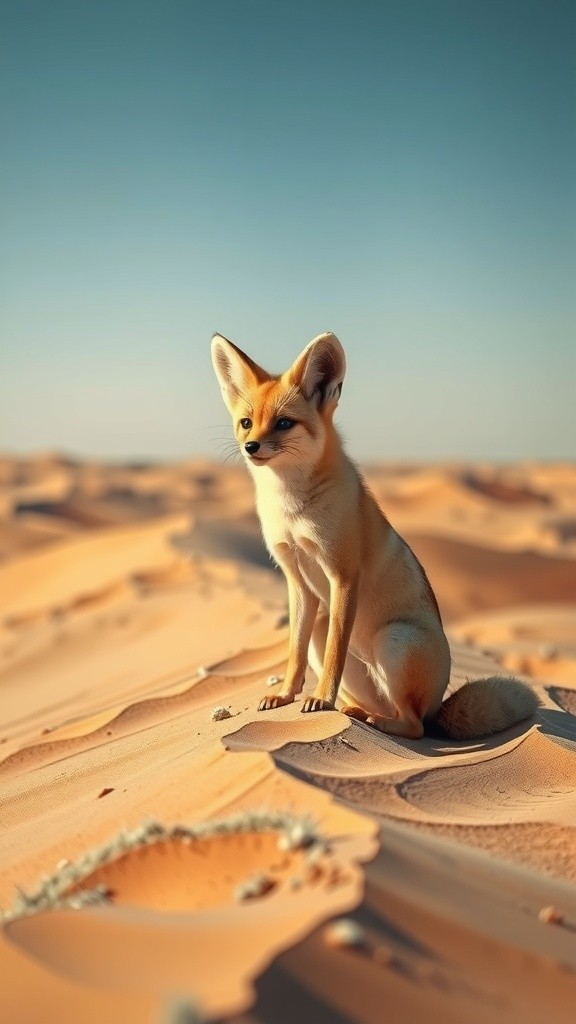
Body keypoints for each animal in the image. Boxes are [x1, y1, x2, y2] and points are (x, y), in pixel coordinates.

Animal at [211, 330, 540, 740]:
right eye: (246, 422)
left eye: (284, 423)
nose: (251, 447)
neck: (293, 511)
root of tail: (438, 706)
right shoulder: (297, 581)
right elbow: (294, 653)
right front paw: (286, 696)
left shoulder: (343, 574)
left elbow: (336, 651)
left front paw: (320, 700)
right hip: (331, 635)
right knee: (385, 708)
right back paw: (355, 711)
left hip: (393, 639)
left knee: (414, 727)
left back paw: (378, 722)